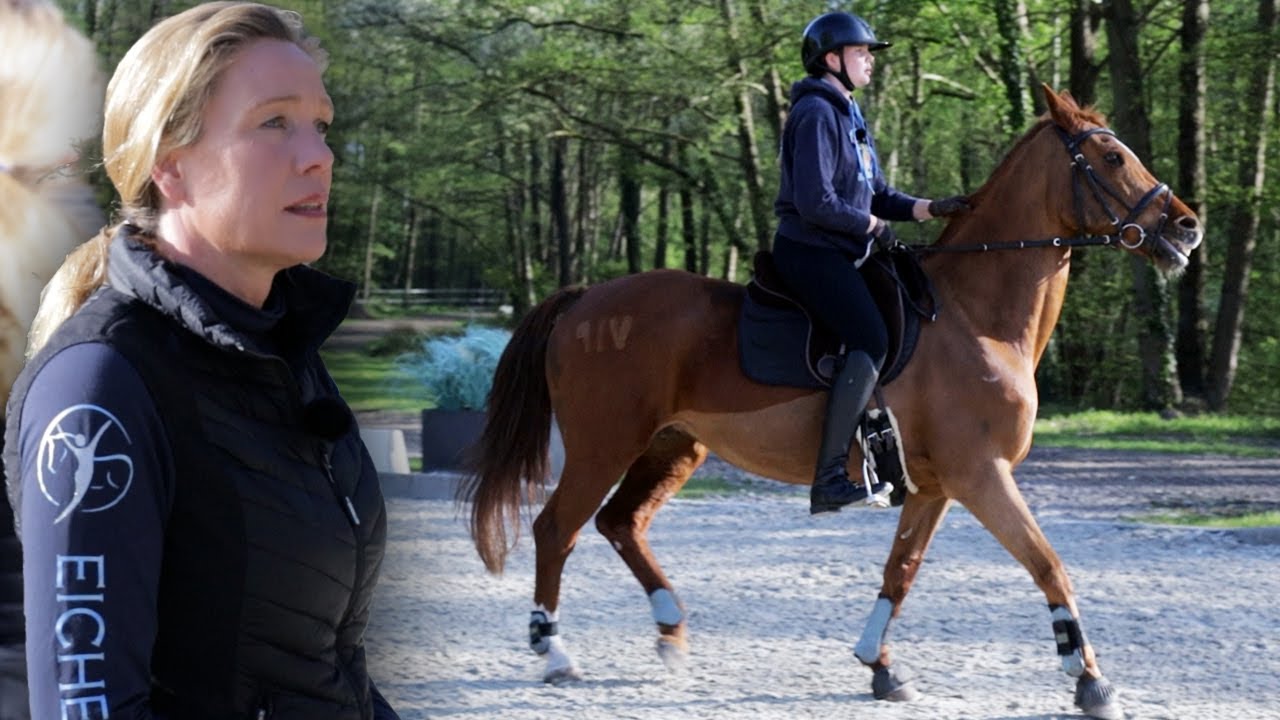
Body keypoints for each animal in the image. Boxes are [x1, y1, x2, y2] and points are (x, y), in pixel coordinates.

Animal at [460, 86, 1203, 720]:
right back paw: (554, 652)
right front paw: (1088, 678)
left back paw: (670, 630)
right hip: (603, 444)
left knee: (621, 522)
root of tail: (586, 297)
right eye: (1112, 157)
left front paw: (880, 664)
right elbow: (1048, 562)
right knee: (557, 529)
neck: (975, 316)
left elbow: (901, 570)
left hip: (672, 445)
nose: (1187, 228)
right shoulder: (981, 474)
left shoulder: (936, 485)